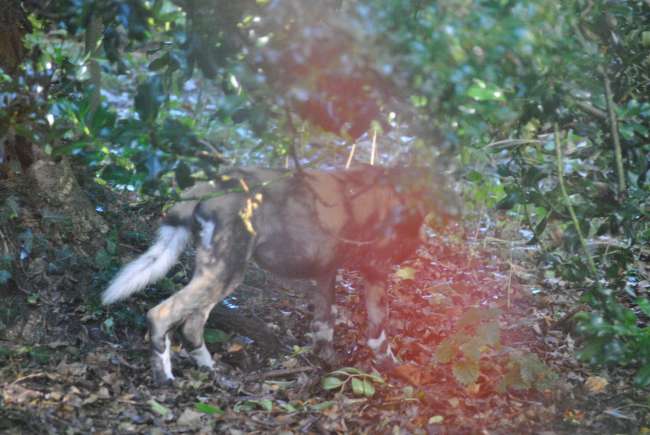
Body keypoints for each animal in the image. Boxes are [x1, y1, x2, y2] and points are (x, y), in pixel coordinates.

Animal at [101, 165, 456, 384]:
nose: (419, 243)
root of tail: (211, 186)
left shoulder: (326, 272)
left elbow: (324, 325)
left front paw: (327, 363)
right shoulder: (374, 274)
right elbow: (379, 333)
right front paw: (395, 370)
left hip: (217, 273)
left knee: (191, 326)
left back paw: (215, 374)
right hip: (227, 273)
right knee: (160, 314)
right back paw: (166, 379)